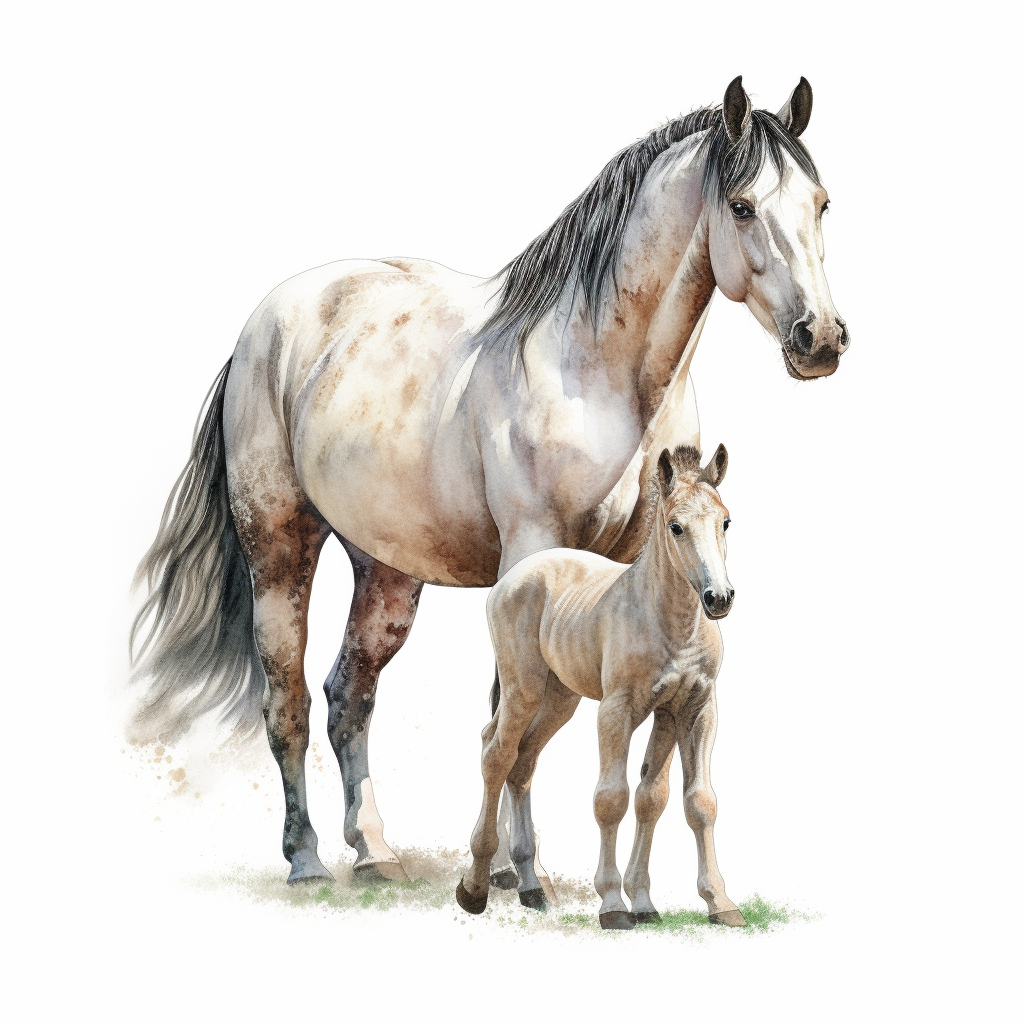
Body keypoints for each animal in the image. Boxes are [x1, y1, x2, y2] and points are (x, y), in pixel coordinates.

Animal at [458, 443, 738, 929]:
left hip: (560, 699)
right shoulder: (616, 710)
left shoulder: (690, 708)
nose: (718, 598)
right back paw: (475, 888)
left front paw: (703, 902)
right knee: (496, 753)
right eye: (676, 526)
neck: (671, 623)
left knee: (523, 762)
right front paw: (613, 904)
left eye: (725, 521)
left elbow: (676, 800)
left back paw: (532, 888)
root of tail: (514, 575)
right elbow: (612, 798)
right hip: (523, 690)